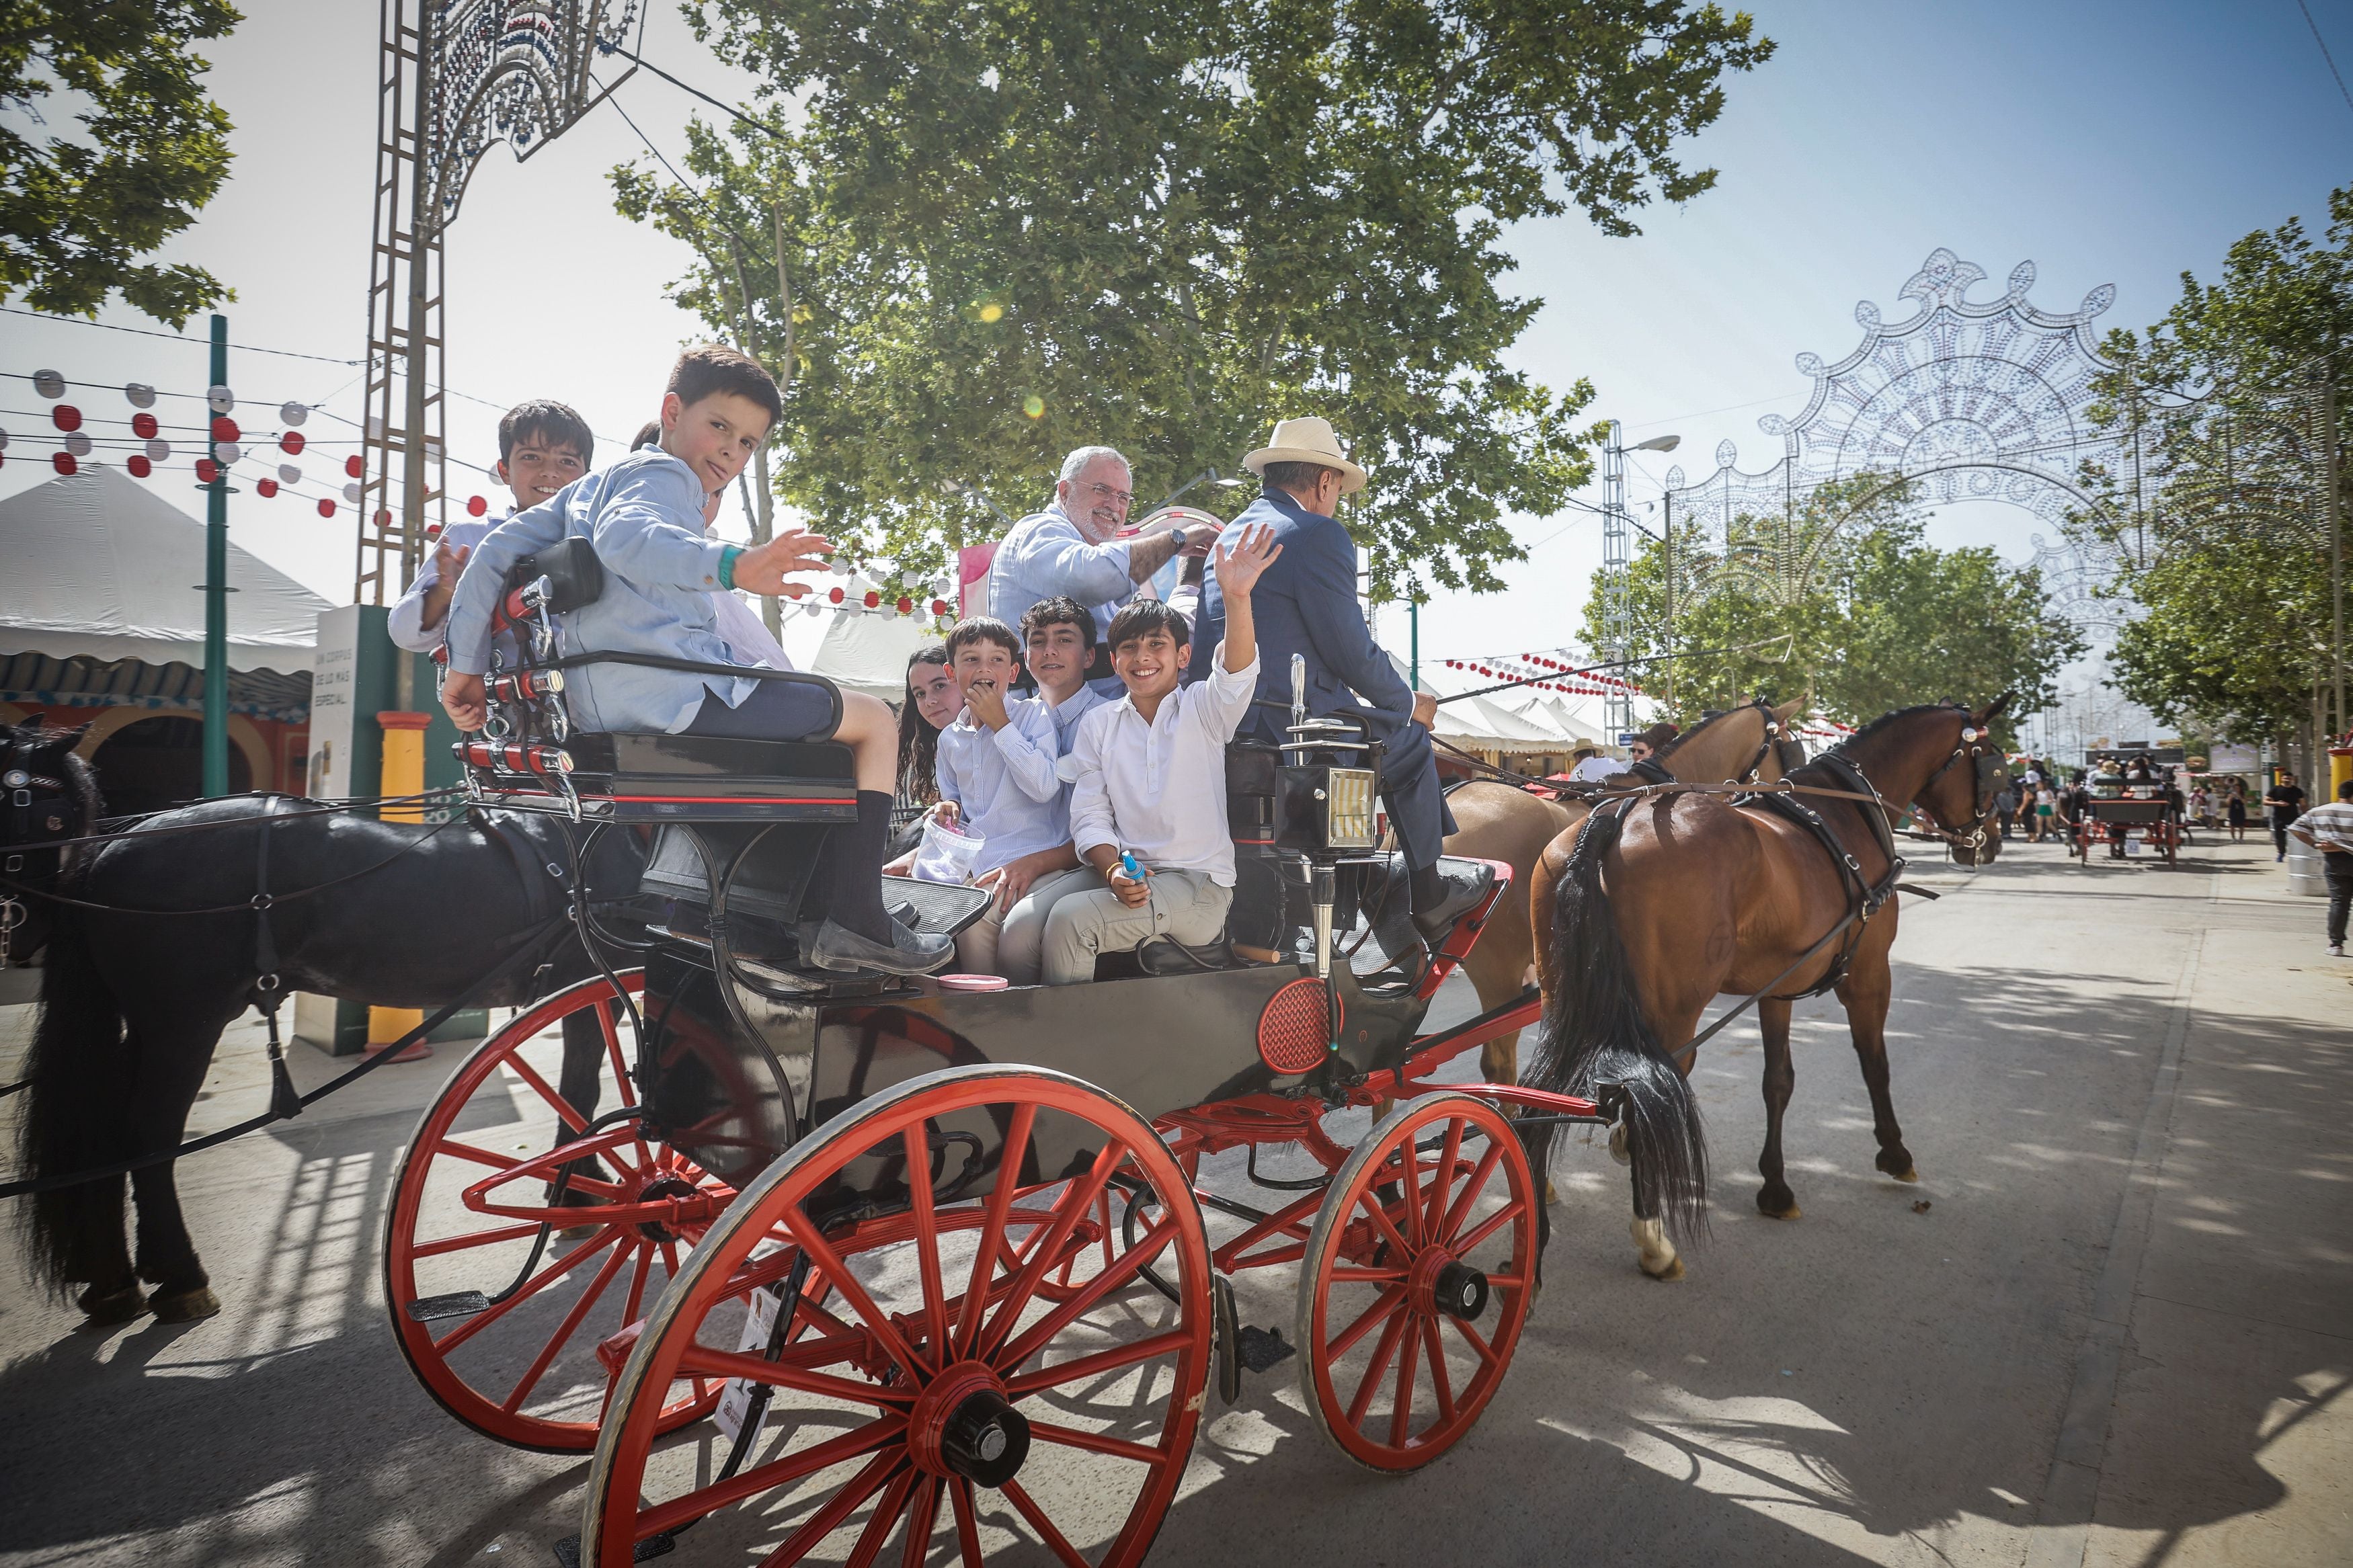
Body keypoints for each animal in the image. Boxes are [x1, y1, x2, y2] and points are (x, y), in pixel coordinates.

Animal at [4, 719, 649, 1325]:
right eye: (51, 815)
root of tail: (113, 846)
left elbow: (578, 1090)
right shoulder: (592, 984)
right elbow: (583, 1090)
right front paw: (581, 1198)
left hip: (148, 1025)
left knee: (109, 1137)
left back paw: (114, 1282)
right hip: (183, 1024)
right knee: (148, 1137)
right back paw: (181, 1276)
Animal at [1515, 705, 2014, 1278]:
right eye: (1993, 763)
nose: (1991, 838)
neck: (1844, 812)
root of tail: (1611, 819)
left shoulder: (1779, 986)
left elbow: (1778, 1081)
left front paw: (1775, 1185)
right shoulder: (1869, 975)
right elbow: (1875, 1063)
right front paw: (1895, 1152)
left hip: (1562, 997)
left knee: (1537, 1089)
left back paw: (1533, 1221)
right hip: (1671, 1010)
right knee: (1641, 1093)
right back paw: (1654, 1241)